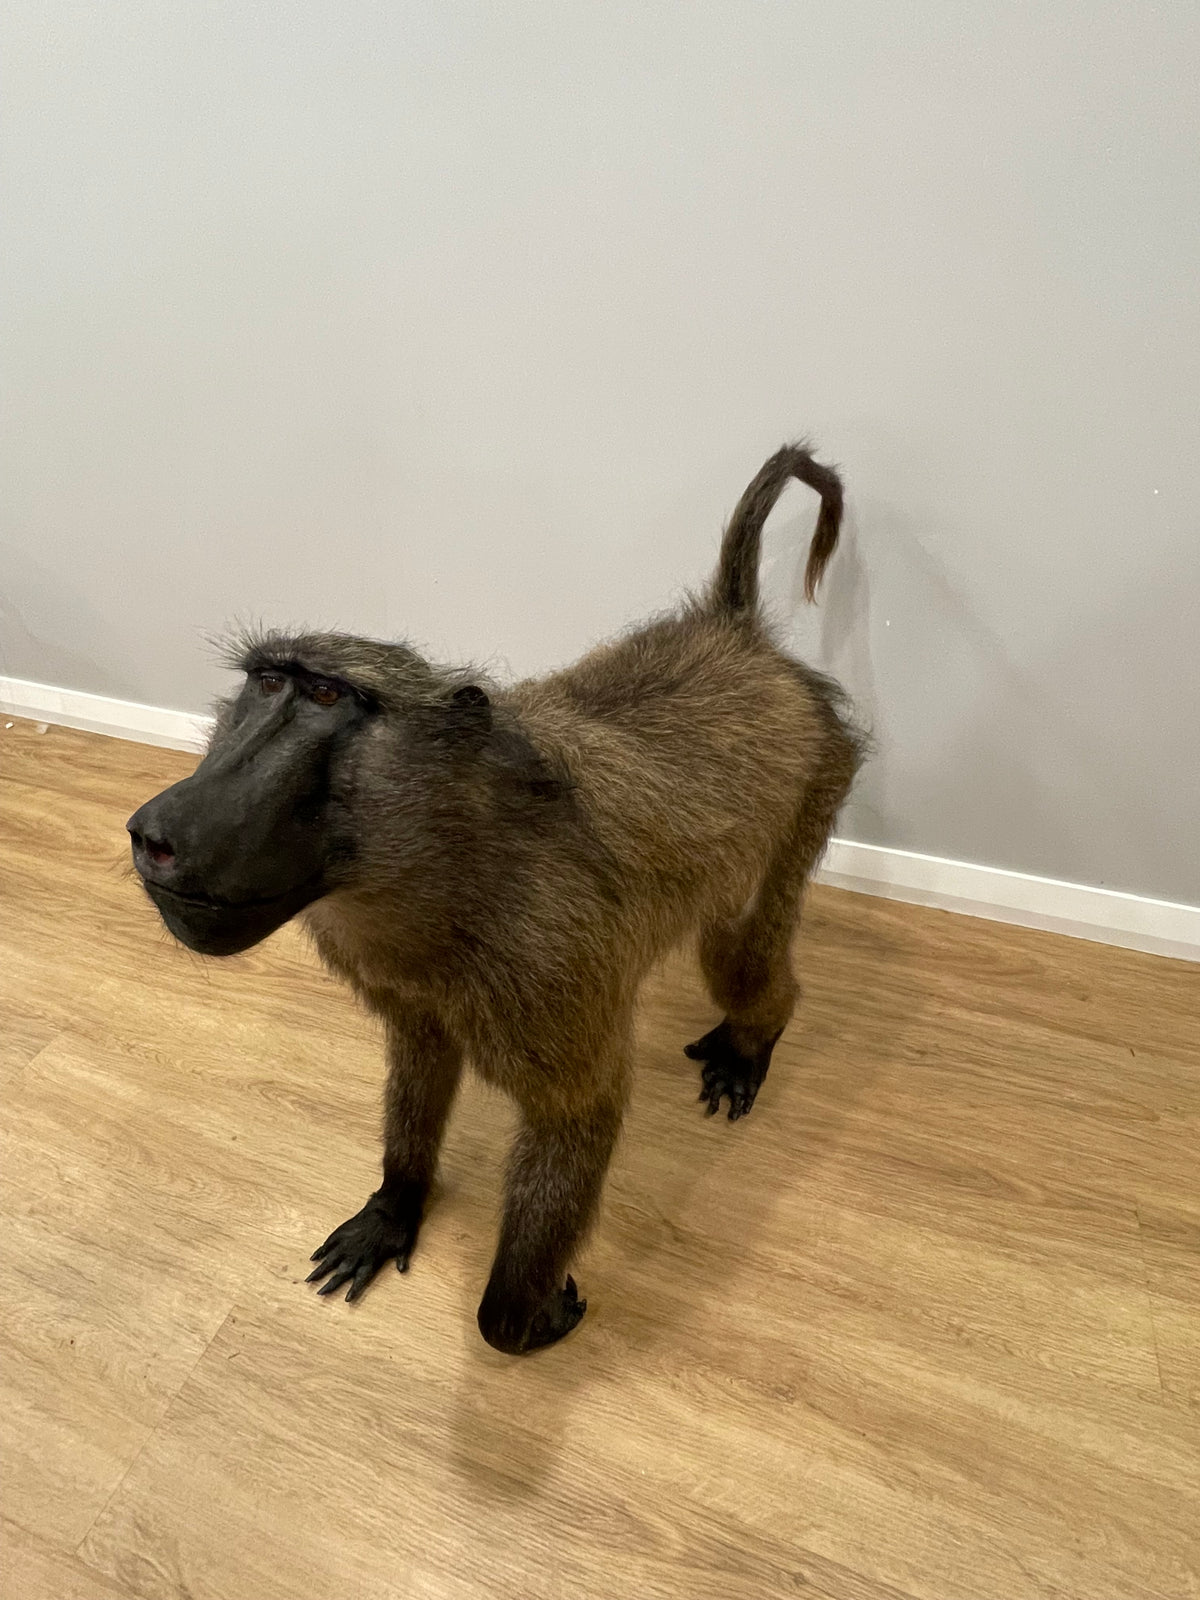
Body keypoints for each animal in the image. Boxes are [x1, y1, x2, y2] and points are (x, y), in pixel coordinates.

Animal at [127, 443, 865, 1354]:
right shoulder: (403, 983)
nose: (160, 833)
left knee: (740, 954)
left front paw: (534, 1309)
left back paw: (753, 1039)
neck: (445, 859)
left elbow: (577, 1116)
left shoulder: (549, 972)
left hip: (813, 791)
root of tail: (739, 643)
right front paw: (395, 1208)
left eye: (329, 698)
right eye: (265, 684)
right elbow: (422, 1054)